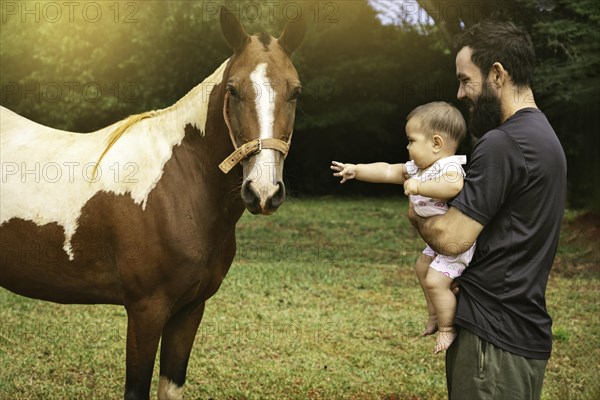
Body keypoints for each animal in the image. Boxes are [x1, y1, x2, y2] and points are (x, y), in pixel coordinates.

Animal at [0, 7, 308, 400]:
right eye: (233, 90)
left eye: (295, 92)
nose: (264, 191)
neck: (177, 186)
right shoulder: (146, 309)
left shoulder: (189, 310)